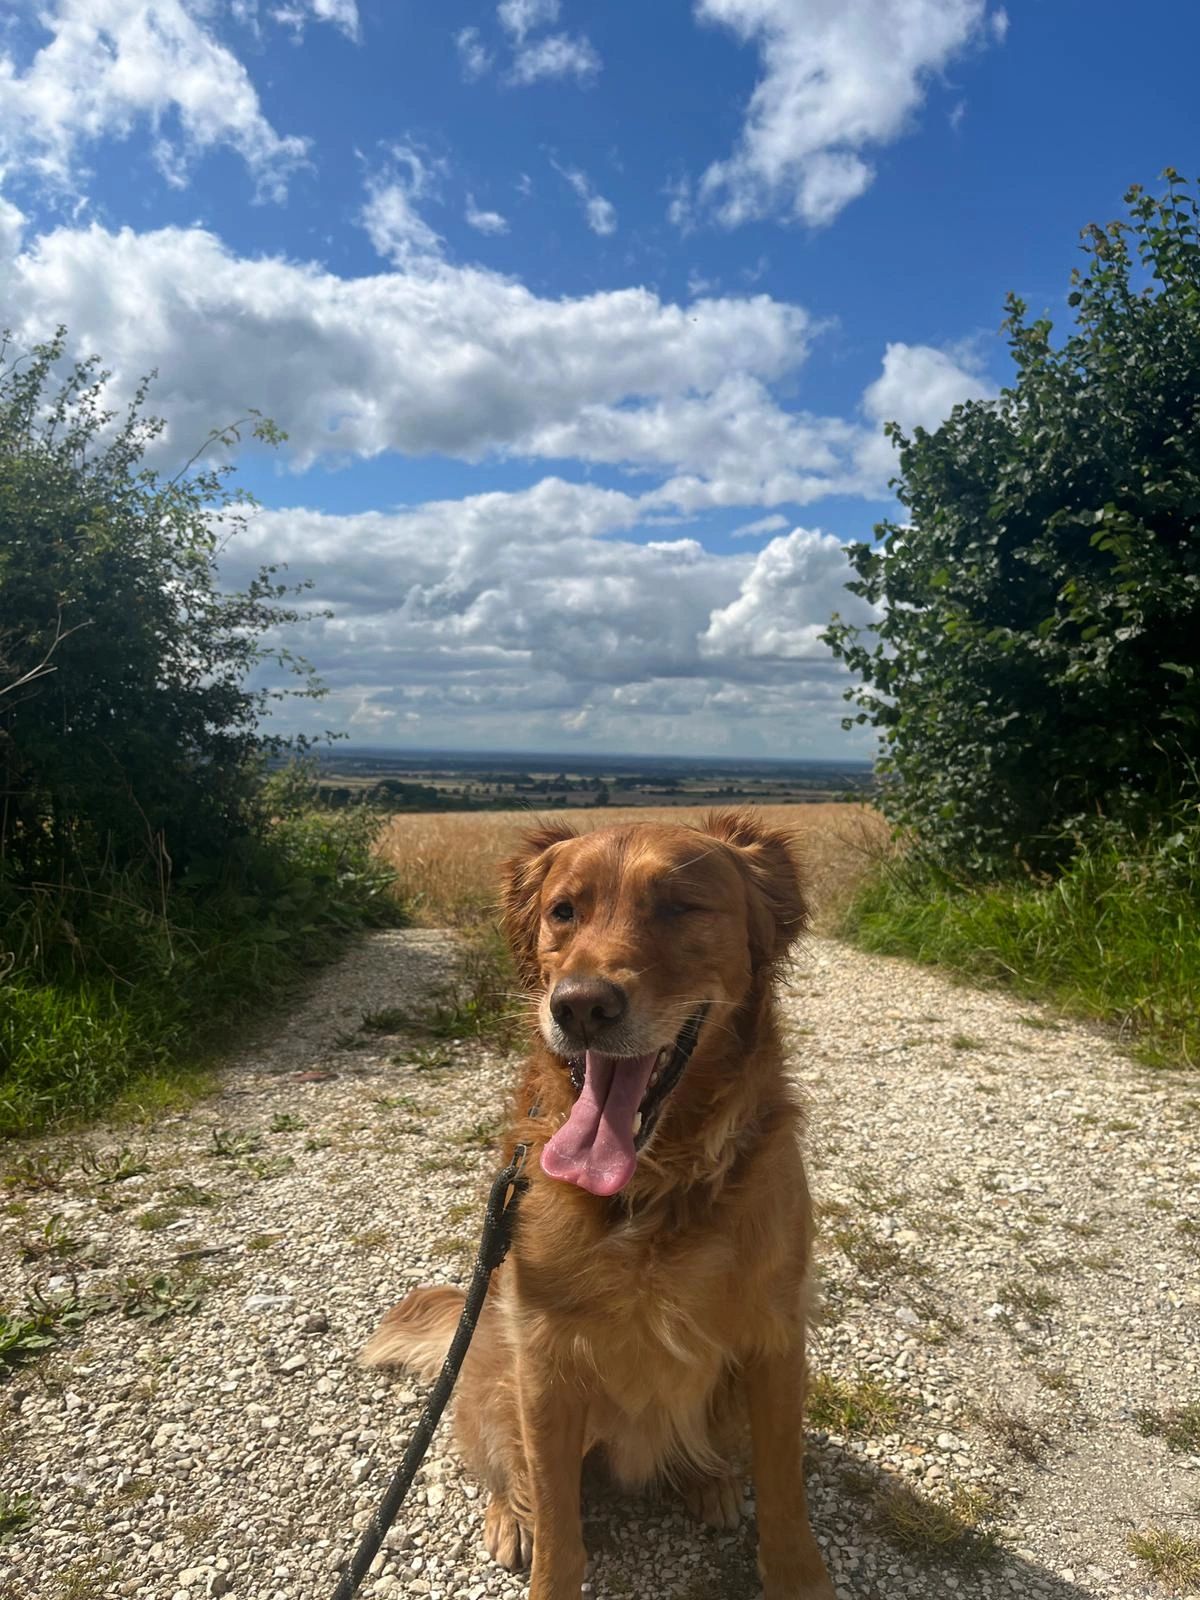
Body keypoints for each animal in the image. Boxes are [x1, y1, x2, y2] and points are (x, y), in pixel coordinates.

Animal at [361, 812, 838, 1600]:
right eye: (564, 912)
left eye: (679, 906)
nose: (580, 1006)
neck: (653, 1187)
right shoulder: (547, 1367)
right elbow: (560, 1534)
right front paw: (539, 1542)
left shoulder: (774, 1342)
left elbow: (788, 1500)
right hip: (499, 1375)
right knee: (509, 1471)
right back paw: (510, 1517)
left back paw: (708, 1480)